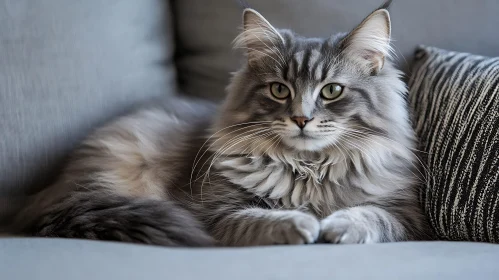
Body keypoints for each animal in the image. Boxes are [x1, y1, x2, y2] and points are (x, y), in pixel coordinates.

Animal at [6, 1, 430, 247]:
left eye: (332, 91)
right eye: (279, 90)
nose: (301, 119)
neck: (308, 170)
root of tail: (47, 191)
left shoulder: (406, 216)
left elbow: (370, 215)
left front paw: (337, 227)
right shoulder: (212, 211)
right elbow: (259, 219)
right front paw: (302, 224)